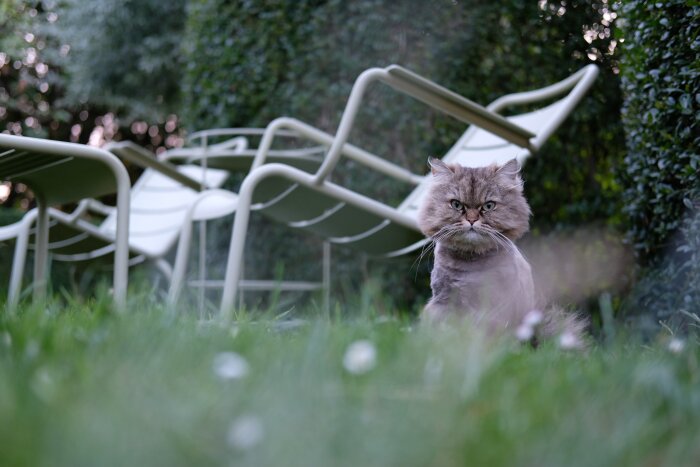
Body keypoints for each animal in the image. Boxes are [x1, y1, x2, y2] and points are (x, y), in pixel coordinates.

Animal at [418, 157, 584, 344]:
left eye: (488, 206)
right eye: (456, 205)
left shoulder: (496, 306)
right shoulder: (443, 301)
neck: (471, 262)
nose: (472, 220)